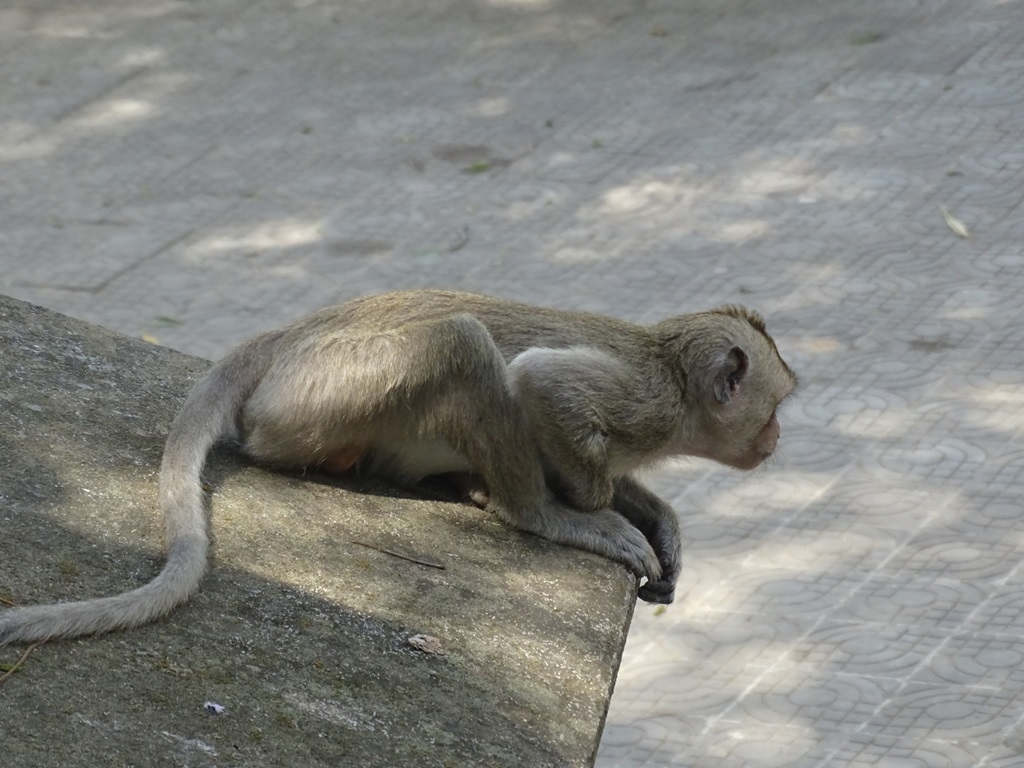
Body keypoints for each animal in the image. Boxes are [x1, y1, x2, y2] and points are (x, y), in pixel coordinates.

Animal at [0, 290, 798, 647]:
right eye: (773, 406)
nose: (777, 438)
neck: (674, 382)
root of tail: (287, 334)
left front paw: (660, 522)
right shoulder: (645, 403)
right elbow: (543, 382)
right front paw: (589, 502)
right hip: (315, 395)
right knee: (462, 342)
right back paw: (534, 511)